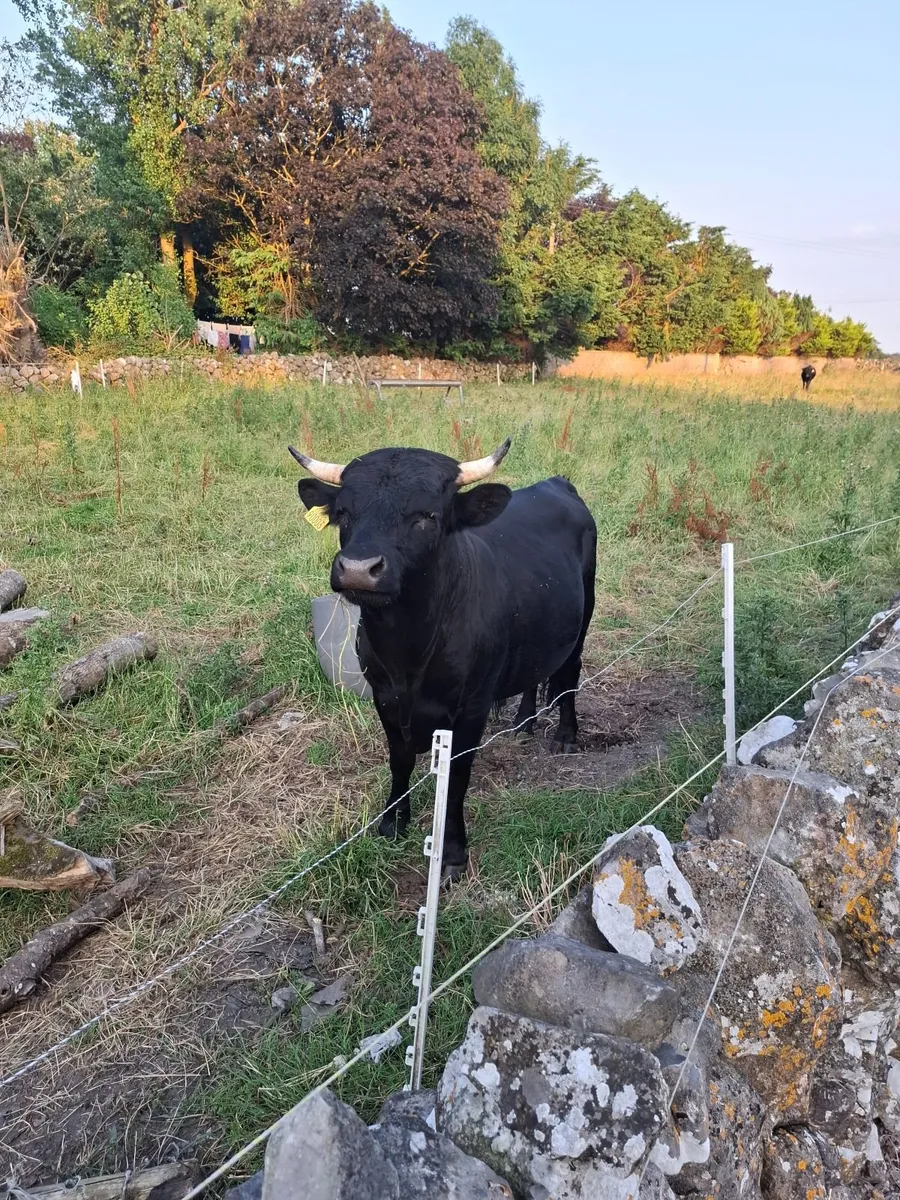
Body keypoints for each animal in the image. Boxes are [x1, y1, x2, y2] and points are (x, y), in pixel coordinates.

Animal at [290, 439, 597, 880]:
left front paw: (451, 852)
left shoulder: (471, 708)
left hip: (583, 615)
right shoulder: (384, 696)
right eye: (344, 512)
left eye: (427, 516)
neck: (408, 654)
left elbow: (457, 778)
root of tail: (555, 483)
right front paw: (392, 822)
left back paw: (566, 735)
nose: (359, 570)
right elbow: (399, 760)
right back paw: (524, 722)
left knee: (569, 673)